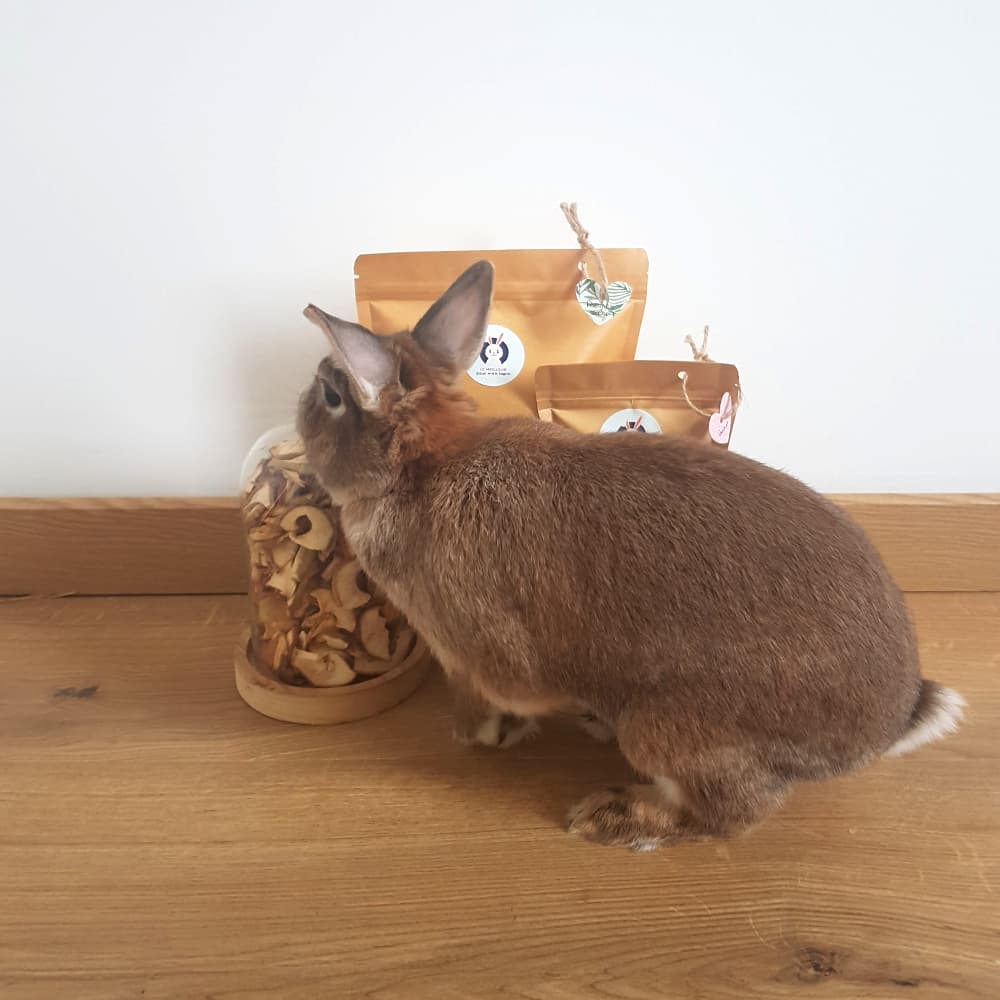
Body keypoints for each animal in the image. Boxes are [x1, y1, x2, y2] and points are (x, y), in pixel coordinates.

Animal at [297, 260, 965, 850]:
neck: (423, 467)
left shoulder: (474, 648)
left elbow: (493, 693)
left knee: (730, 814)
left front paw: (477, 734)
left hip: (665, 727)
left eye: (330, 394)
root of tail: (891, 720)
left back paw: (614, 816)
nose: (301, 411)